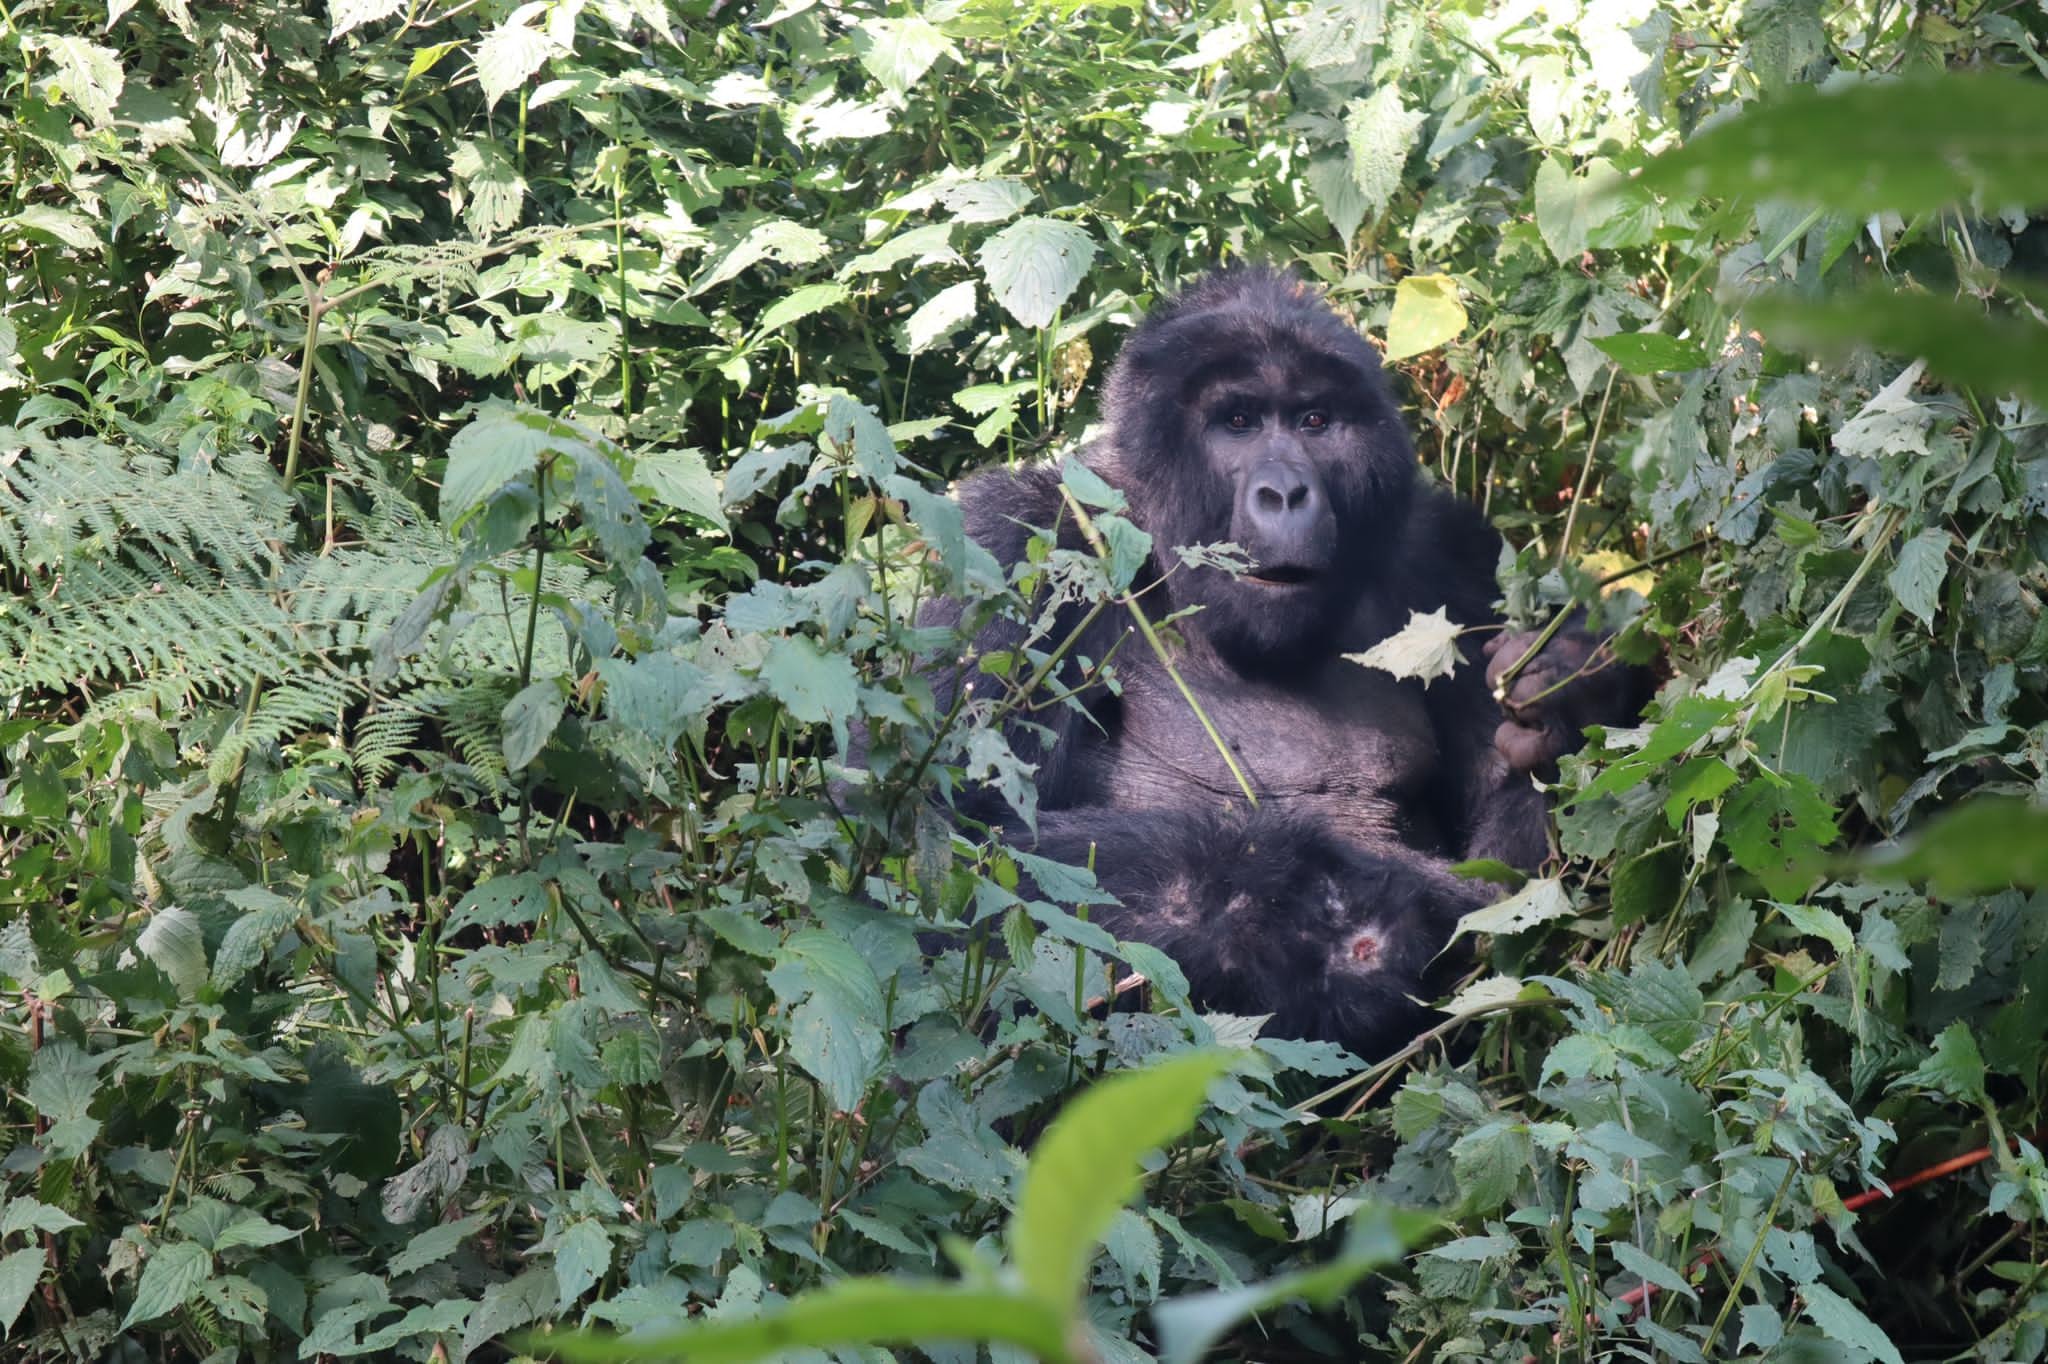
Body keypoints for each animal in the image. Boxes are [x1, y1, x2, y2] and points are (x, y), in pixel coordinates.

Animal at [913, 266, 1646, 1048]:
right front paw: (1315, 924)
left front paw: (1569, 691)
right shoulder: (1015, 546)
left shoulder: (1454, 559)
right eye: (1237, 422)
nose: (1286, 492)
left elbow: (1514, 891)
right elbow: (957, 842)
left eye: (1313, 422)